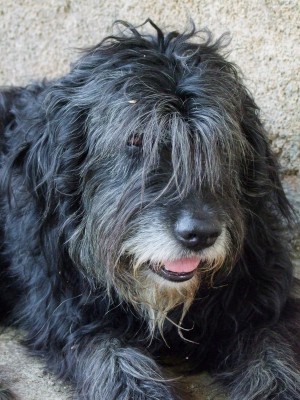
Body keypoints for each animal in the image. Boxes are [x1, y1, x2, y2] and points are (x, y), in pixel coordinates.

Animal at [0, 19, 300, 400]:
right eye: (136, 139)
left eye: (217, 144)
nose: (200, 234)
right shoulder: (69, 315)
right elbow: (114, 361)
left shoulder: (260, 306)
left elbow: (272, 359)